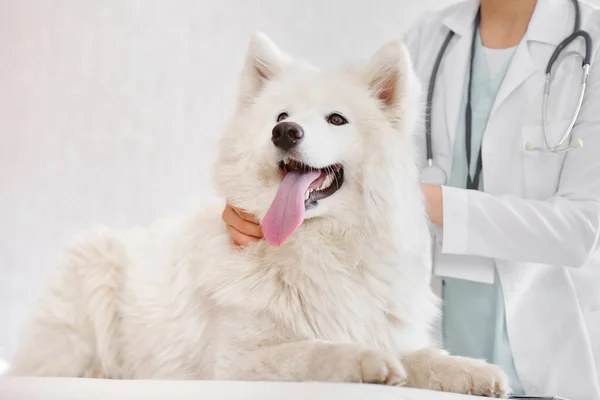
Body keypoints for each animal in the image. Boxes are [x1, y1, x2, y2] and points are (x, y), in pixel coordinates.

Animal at [8, 32, 506, 396]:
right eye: (281, 115)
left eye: (337, 120)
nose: (285, 132)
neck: (319, 247)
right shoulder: (237, 361)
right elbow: (315, 350)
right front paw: (364, 360)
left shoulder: (391, 328)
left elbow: (424, 356)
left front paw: (474, 371)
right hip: (93, 272)